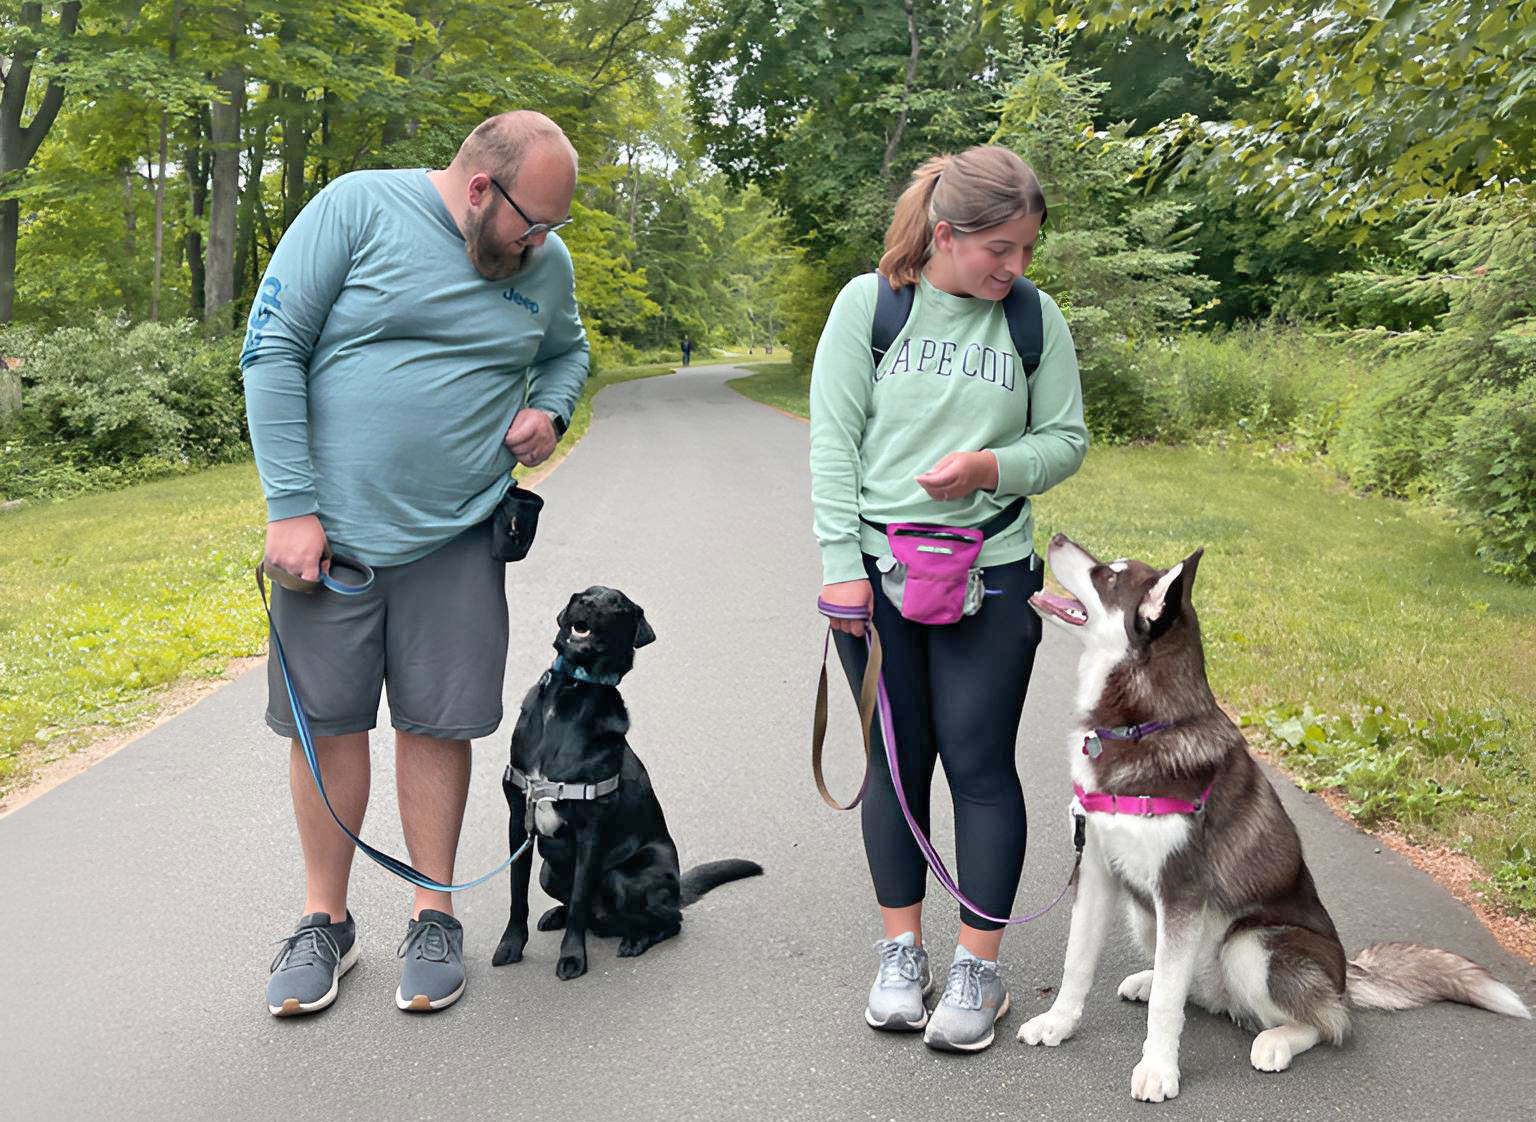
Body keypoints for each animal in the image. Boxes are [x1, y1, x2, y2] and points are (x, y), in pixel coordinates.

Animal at [491, 590, 761, 977]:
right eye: (585, 593)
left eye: (617, 605)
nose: (585, 605)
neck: (570, 691)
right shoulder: (518, 820)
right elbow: (518, 894)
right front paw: (511, 945)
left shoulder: (590, 830)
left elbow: (579, 899)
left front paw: (572, 957)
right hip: (548, 871)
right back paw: (560, 916)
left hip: (626, 878)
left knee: (669, 920)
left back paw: (636, 939)